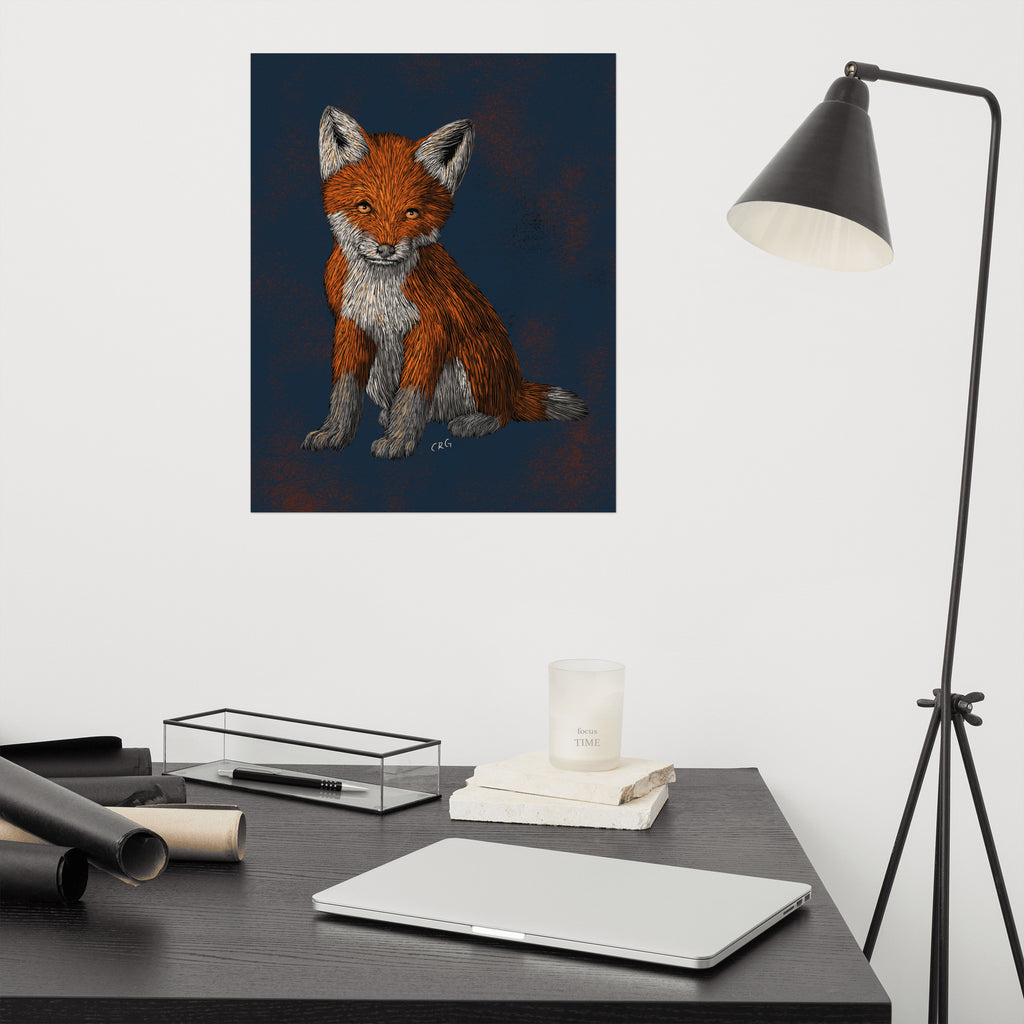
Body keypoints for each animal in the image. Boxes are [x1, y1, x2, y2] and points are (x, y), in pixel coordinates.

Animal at [301, 108, 587, 460]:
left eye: (411, 213)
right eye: (364, 206)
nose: (386, 249)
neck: (379, 293)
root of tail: (514, 386)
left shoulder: (431, 328)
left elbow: (412, 394)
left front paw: (399, 440)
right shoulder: (350, 324)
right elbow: (344, 390)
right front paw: (335, 433)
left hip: (475, 357)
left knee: (502, 413)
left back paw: (475, 421)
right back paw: (390, 416)